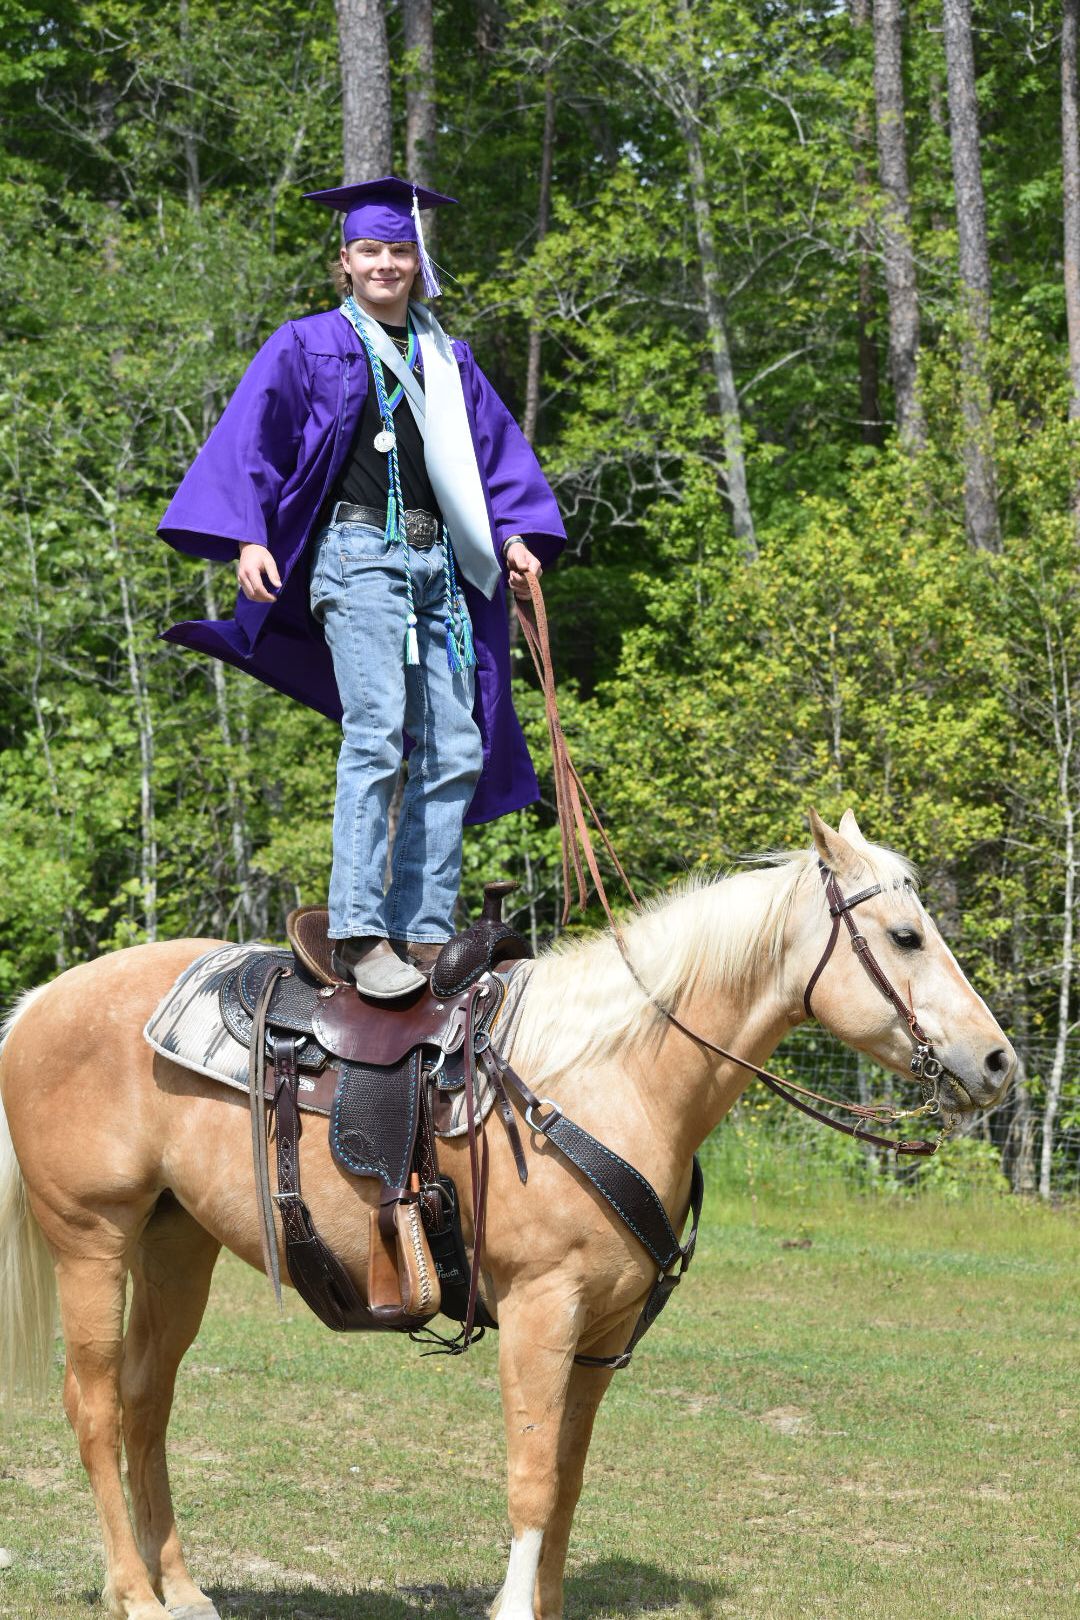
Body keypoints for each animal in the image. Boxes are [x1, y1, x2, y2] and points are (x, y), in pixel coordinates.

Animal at [0, 810, 1015, 1620]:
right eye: (905, 935)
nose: (1000, 1061)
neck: (609, 1076)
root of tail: (41, 1001)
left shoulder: (603, 1334)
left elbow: (567, 1481)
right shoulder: (539, 1309)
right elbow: (531, 1481)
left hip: (175, 1246)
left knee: (146, 1403)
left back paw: (181, 1590)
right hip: (91, 1239)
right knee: (94, 1404)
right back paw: (132, 1592)